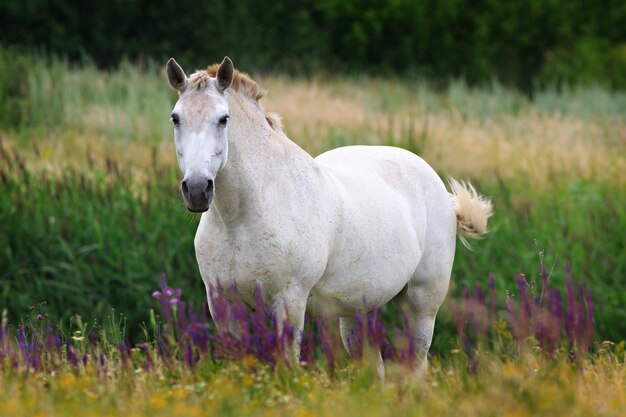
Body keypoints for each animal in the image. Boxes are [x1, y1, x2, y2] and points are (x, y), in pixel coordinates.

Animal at [166, 56, 492, 376]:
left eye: (223, 119)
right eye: (175, 118)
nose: (197, 189)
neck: (241, 219)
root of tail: (441, 192)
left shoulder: (289, 301)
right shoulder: (224, 304)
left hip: (421, 306)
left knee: (417, 366)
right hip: (356, 311)